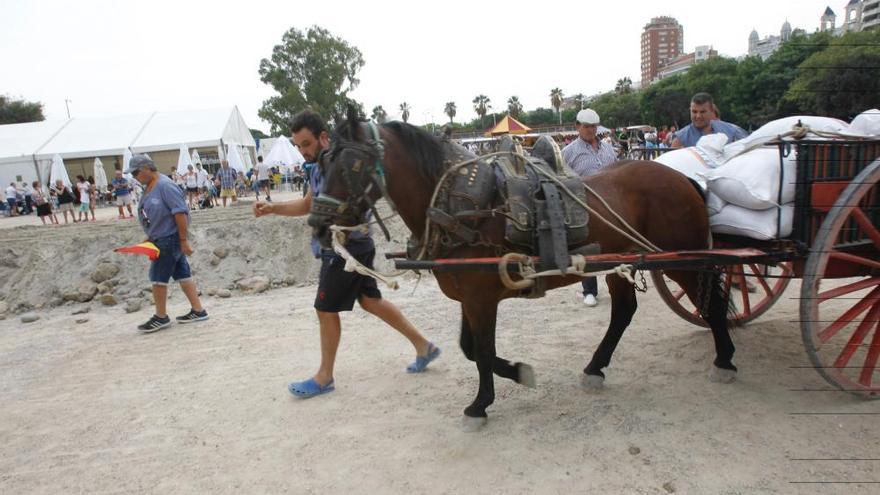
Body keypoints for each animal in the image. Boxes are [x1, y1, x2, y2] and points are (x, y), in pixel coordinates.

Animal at [312, 117, 736, 430]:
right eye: (320, 163)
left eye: (349, 165)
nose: (317, 224)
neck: (460, 207)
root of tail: (682, 178)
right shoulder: (469, 296)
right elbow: (470, 348)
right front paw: (518, 373)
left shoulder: (482, 298)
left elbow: (482, 350)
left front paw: (481, 404)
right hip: (623, 261)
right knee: (624, 312)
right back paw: (596, 367)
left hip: (682, 260)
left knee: (711, 302)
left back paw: (725, 360)